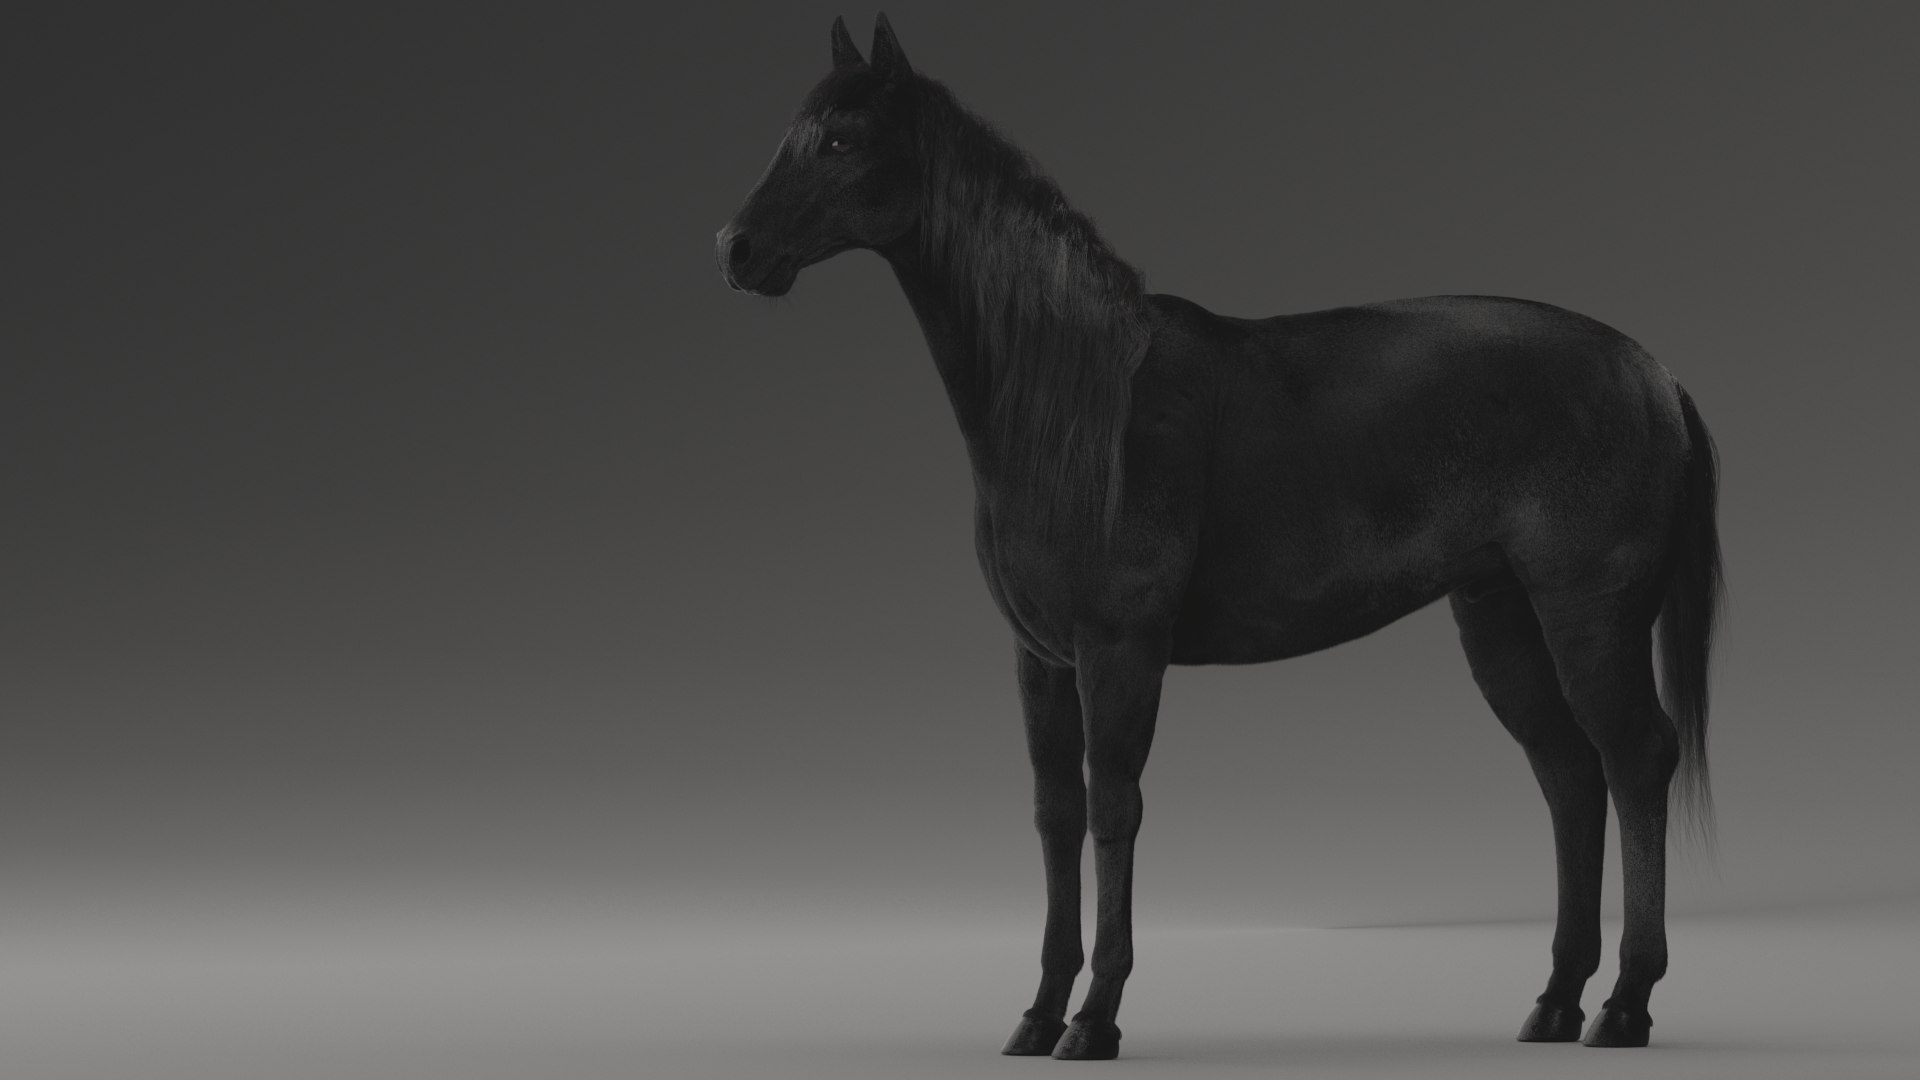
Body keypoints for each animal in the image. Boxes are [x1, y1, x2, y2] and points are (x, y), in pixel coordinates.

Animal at [715, 13, 1723, 1061]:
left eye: (842, 140)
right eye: (794, 133)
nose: (737, 250)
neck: (1083, 401)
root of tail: (1656, 375)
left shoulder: (1120, 647)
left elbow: (1114, 807)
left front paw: (1097, 1018)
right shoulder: (1041, 658)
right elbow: (1055, 814)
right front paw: (1037, 1013)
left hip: (1588, 617)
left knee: (1635, 759)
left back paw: (1625, 1004)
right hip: (1501, 619)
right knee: (1569, 776)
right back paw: (1557, 999)